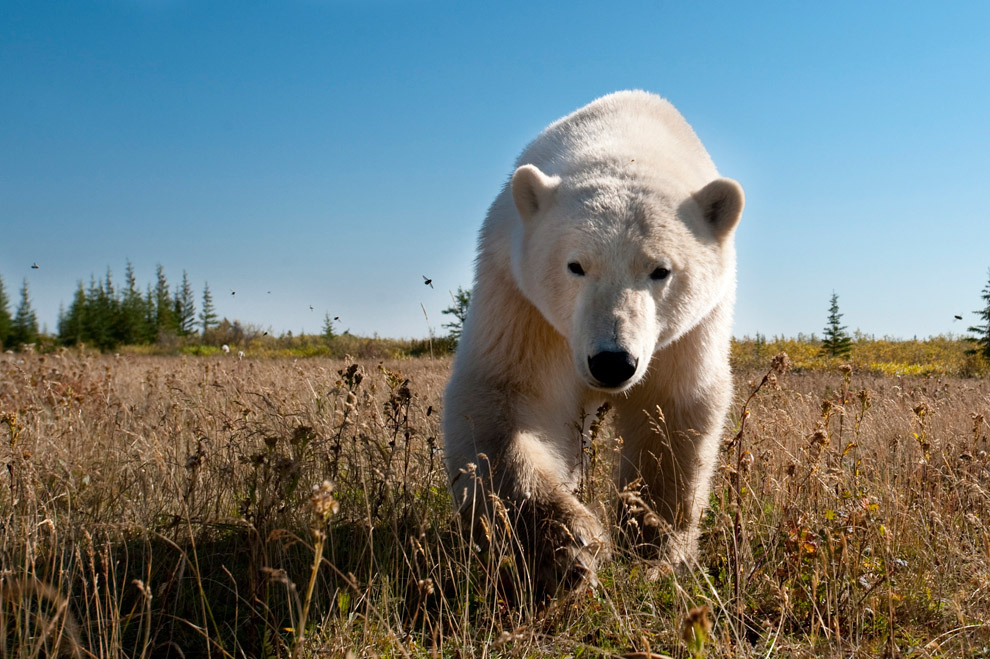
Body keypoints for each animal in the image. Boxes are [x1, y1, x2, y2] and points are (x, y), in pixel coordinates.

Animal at [444, 89, 744, 592]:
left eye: (660, 270)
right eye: (576, 265)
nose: (612, 361)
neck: (626, 139)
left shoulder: (687, 333)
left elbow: (669, 414)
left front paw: (653, 547)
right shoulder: (523, 302)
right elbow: (512, 399)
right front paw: (570, 546)